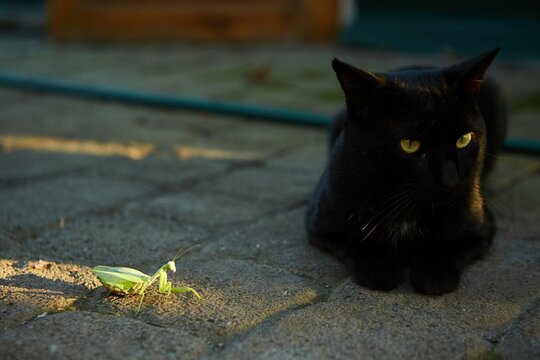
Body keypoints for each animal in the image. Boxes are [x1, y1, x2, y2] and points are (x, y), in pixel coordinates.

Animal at [306, 48, 508, 296]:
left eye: (464, 139)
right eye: (409, 144)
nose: (450, 179)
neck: (406, 210)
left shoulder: (481, 229)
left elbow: (448, 245)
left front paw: (433, 274)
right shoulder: (322, 224)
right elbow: (356, 241)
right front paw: (379, 268)